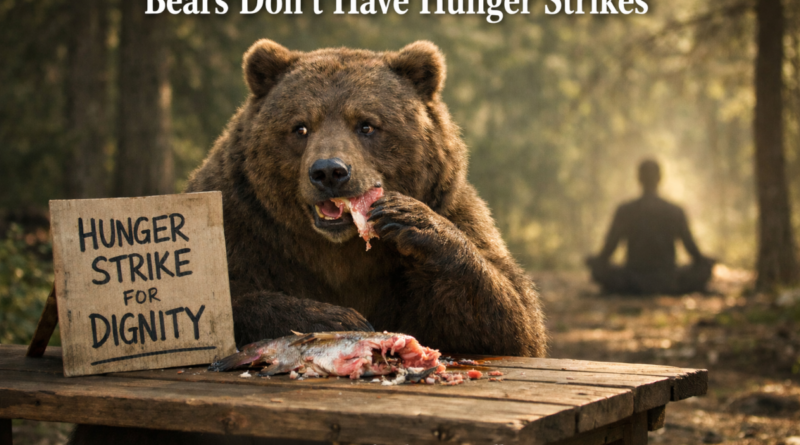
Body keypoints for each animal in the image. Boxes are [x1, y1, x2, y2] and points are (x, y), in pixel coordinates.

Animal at [69, 39, 546, 445]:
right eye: (300, 126)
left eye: (367, 124)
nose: (329, 171)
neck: (338, 249)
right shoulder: (243, 225)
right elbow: (225, 298)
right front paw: (339, 317)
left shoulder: (452, 211)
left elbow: (510, 318)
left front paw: (410, 219)